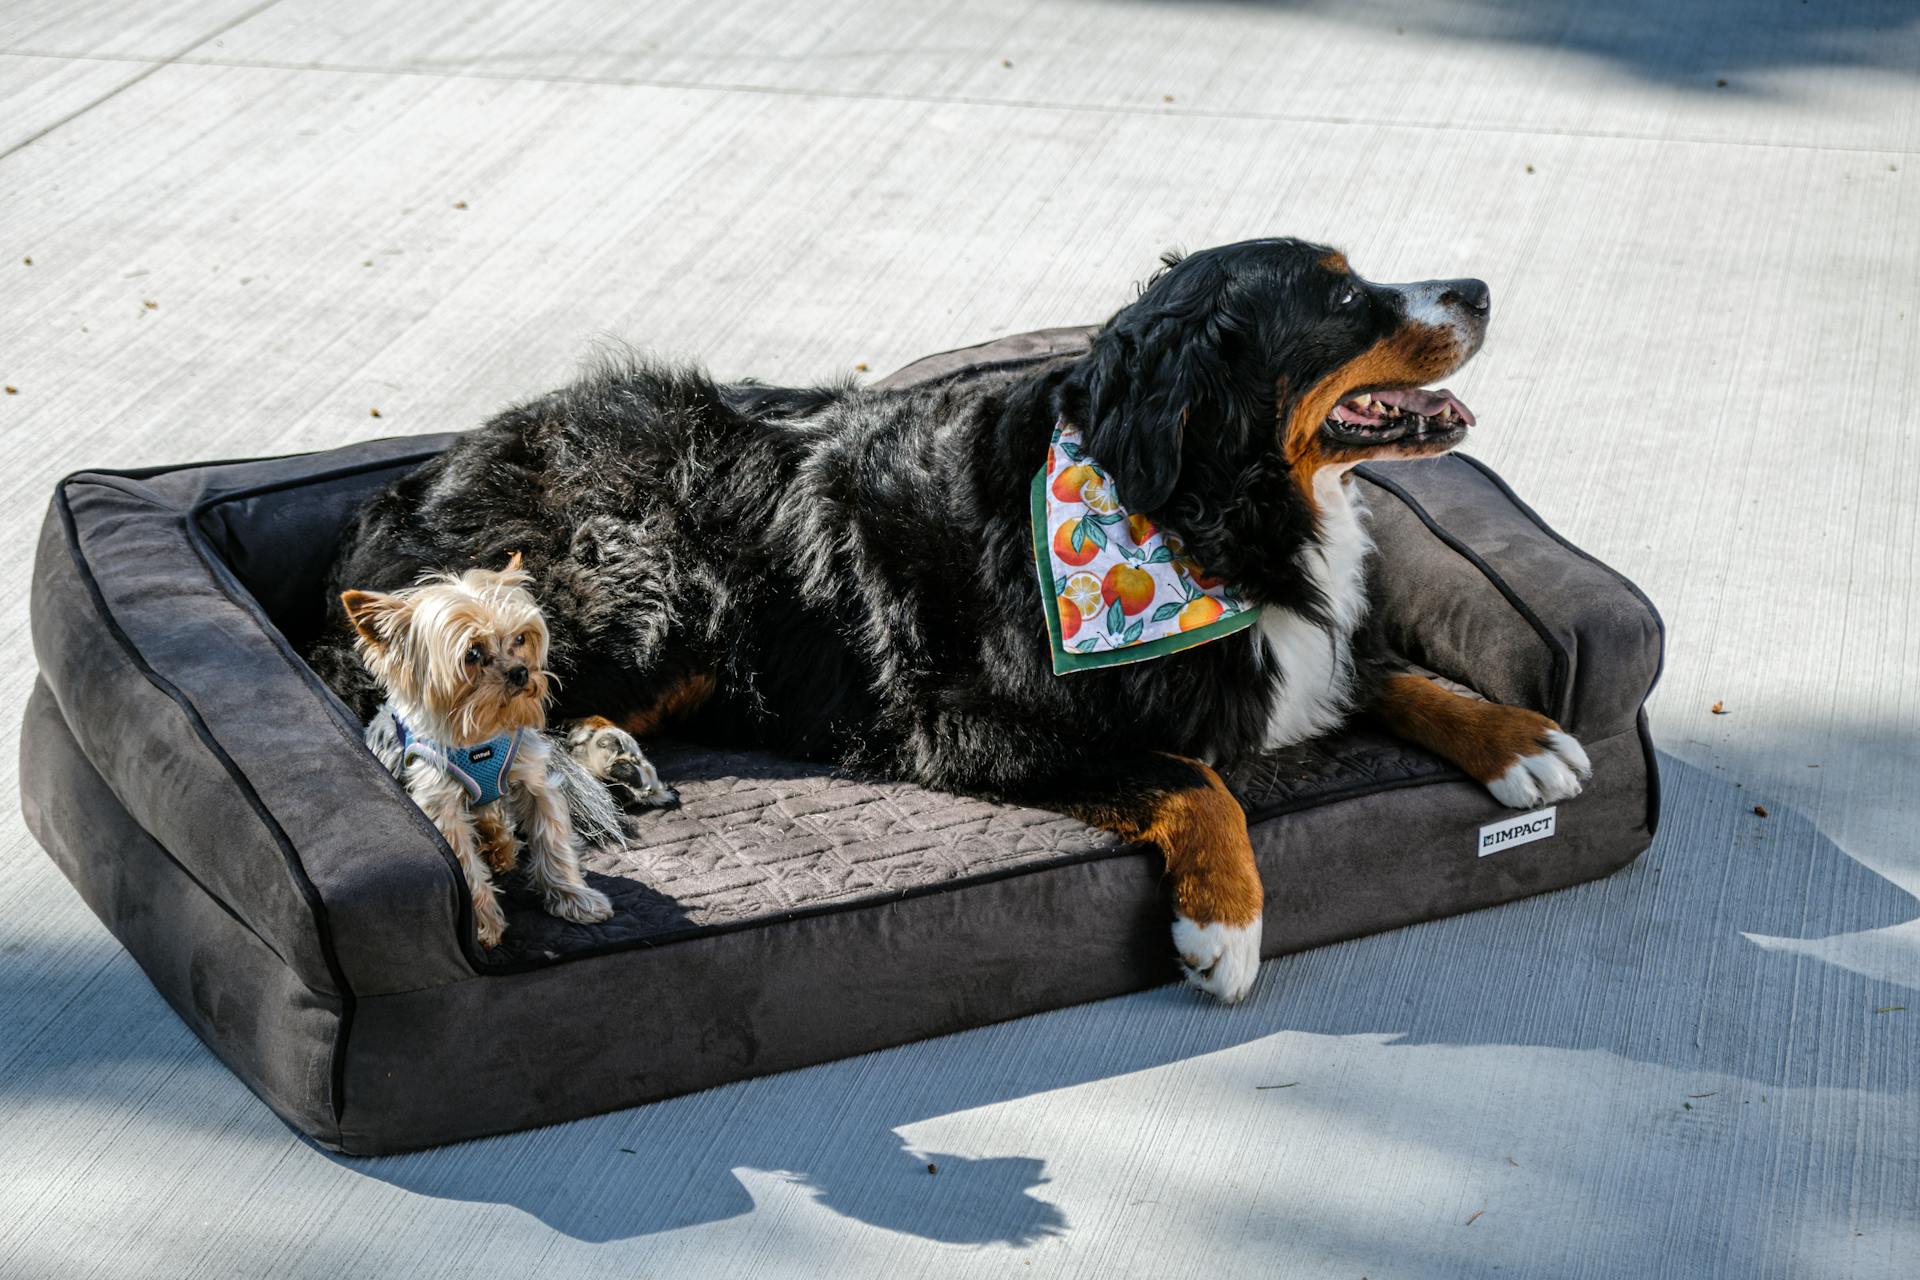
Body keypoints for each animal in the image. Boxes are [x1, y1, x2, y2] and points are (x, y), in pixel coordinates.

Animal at [311, 237, 1589, 997]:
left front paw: (1523, 740)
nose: (1480, 288)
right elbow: (1190, 775)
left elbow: (1387, 666)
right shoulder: (967, 721)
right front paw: (1223, 926)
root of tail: (414, 486)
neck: (1186, 513)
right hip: (652, 579)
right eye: (1341, 296)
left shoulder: (1301, 644)